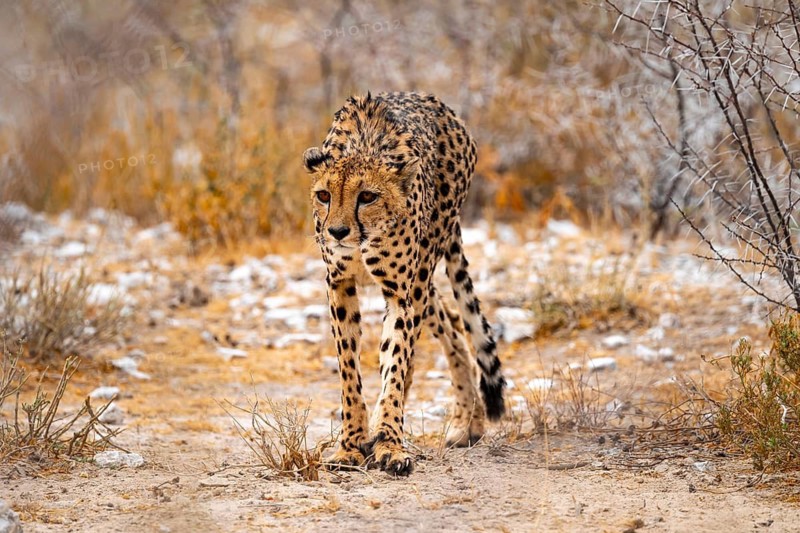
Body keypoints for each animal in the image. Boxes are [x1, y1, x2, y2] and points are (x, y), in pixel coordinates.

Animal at [303, 91, 505, 476]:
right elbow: (349, 370)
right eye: (324, 195)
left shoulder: (400, 292)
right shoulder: (339, 284)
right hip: (423, 282)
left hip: (423, 271)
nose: (337, 232)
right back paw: (467, 422)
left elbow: (396, 363)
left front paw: (388, 444)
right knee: (451, 323)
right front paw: (350, 444)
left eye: (367, 196)